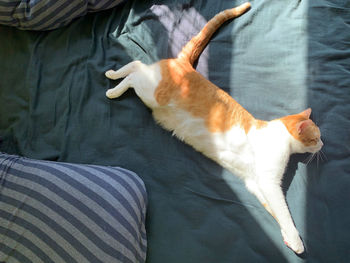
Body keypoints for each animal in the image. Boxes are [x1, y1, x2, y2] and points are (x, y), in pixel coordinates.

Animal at [104, 2, 322, 256]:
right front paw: (296, 240)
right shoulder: (269, 182)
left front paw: (288, 238)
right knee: (136, 68)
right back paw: (114, 84)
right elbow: (284, 212)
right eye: (315, 138)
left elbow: (275, 211)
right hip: (151, 92)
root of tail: (184, 65)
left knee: (138, 67)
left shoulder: (256, 183)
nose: (322, 144)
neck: (278, 136)